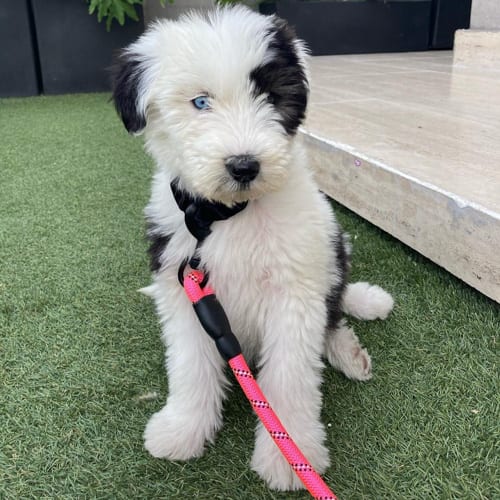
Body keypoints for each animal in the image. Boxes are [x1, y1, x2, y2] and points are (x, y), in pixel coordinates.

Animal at [111, 5, 392, 492]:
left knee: (334, 310)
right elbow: (190, 365)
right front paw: (183, 429)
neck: (230, 215)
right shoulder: (185, 290)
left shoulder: (294, 292)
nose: (244, 166)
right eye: (200, 102)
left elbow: (290, 377)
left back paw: (348, 349)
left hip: (333, 247)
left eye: (272, 96)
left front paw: (290, 456)